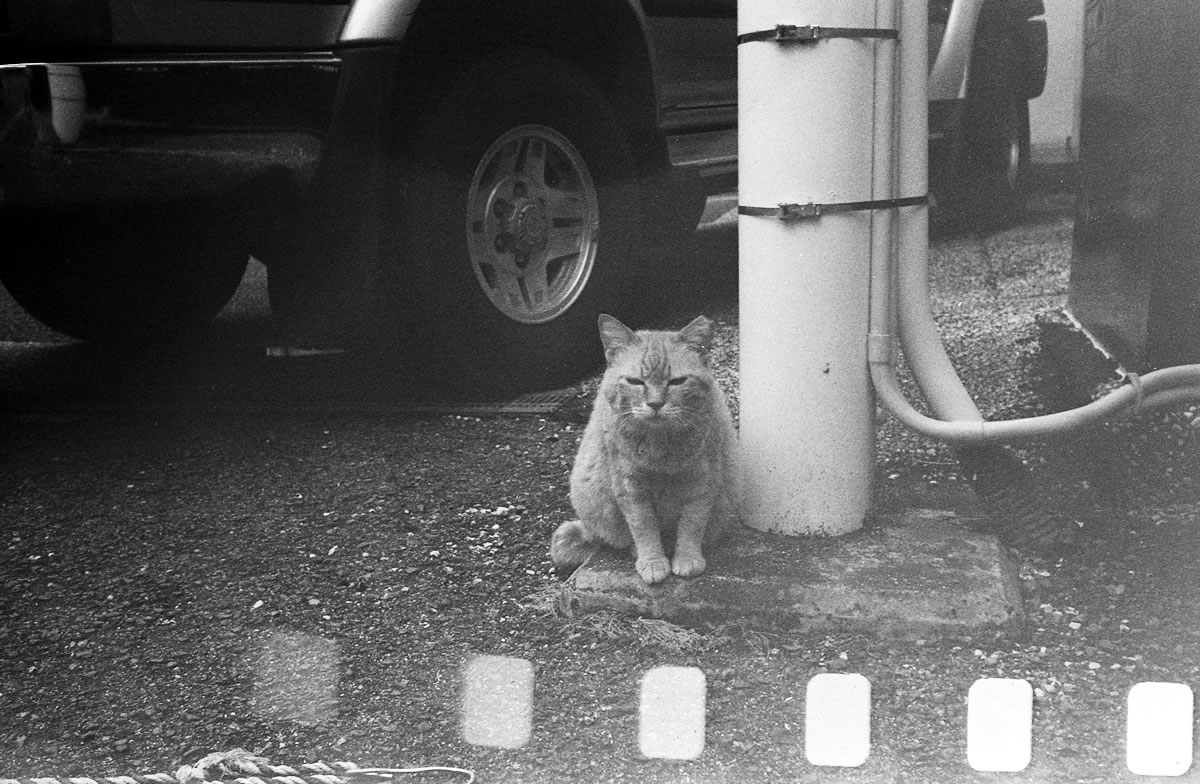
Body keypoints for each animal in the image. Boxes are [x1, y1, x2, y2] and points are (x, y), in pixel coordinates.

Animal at [549, 312, 739, 581]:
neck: (661, 447)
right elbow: (644, 528)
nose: (655, 404)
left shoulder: (702, 484)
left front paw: (687, 558)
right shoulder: (631, 489)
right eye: (635, 381)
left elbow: (692, 525)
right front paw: (652, 562)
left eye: (677, 382)